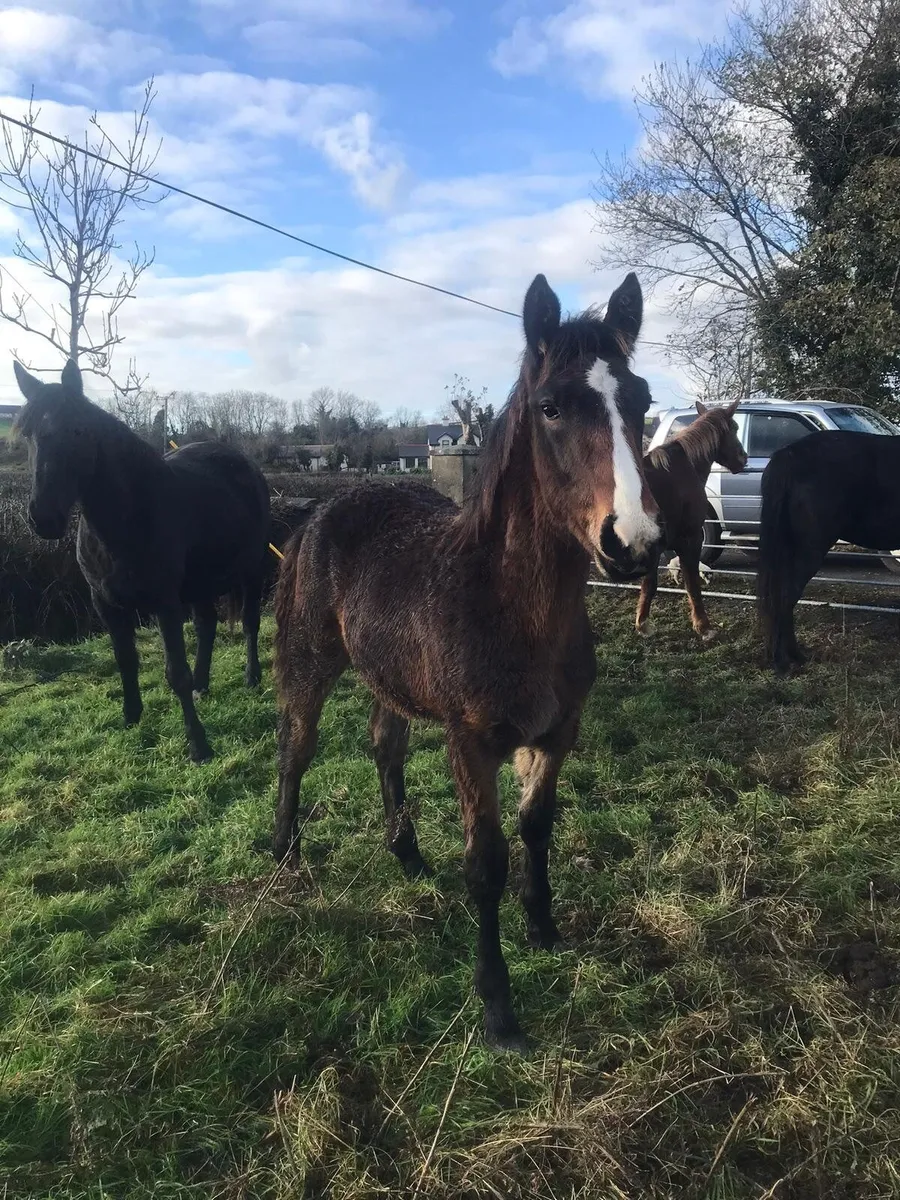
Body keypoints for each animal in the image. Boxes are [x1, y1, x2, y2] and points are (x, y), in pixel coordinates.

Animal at [13, 359, 271, 762]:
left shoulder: (164, 602)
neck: (126, 519)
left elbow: (174, 671)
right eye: (26, 433)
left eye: (78, 429)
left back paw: (251, 677)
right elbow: (125, 660)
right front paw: (131, 717)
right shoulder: (105, 603)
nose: (44, 518)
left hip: (251, 569)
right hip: (200, 581)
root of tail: (244, 463)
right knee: (207, 625)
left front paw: (198, 745)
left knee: (248, 623)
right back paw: (202, 685)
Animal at [273, 272, 662, 1050]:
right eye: (551, 408)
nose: (633, 542)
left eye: (640, 401)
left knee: (384, 744)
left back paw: (406, 853)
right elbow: (485, 863)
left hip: (388, 675)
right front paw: (498, 1009)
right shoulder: (471, 741)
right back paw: (285, 853)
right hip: (311, 662)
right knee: (295, 746)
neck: (509, 604)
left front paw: (543, 927)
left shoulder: (558, 732)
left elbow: (538, 826)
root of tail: (320, 511)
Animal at [635, 399, 747, 640]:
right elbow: (692, 583)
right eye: (734, 428)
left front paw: (642, 625)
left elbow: (649, 585)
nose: (744, 458)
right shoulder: (691, 539)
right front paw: (704, 627)